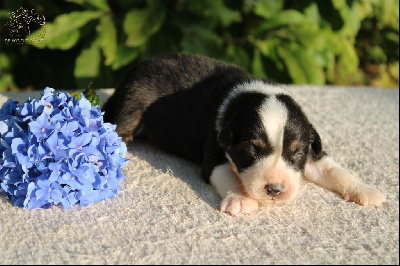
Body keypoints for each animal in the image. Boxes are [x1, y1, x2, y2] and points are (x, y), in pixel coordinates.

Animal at [101, 52, 386, 216]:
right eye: (252, 149)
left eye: (297, 153)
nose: (275, 190)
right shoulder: (214, 153)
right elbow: (229, 174)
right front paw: (240, 200)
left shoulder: (313, 152)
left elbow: (334, 169)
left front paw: (367, 191)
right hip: (132, 104)